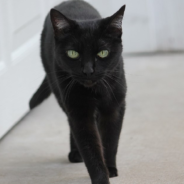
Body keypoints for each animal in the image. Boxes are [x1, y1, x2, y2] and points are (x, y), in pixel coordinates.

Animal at [30, 0, 127, 183]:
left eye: (102, 53)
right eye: (73, 53)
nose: (88, 71)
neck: (95, 90)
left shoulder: (115, 107)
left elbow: (110, 139)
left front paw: (110, 169)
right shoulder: (79, 110)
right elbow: (89, 146)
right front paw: (100, 177)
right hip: (60, 92)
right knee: (71, 123)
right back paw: (75, 153)